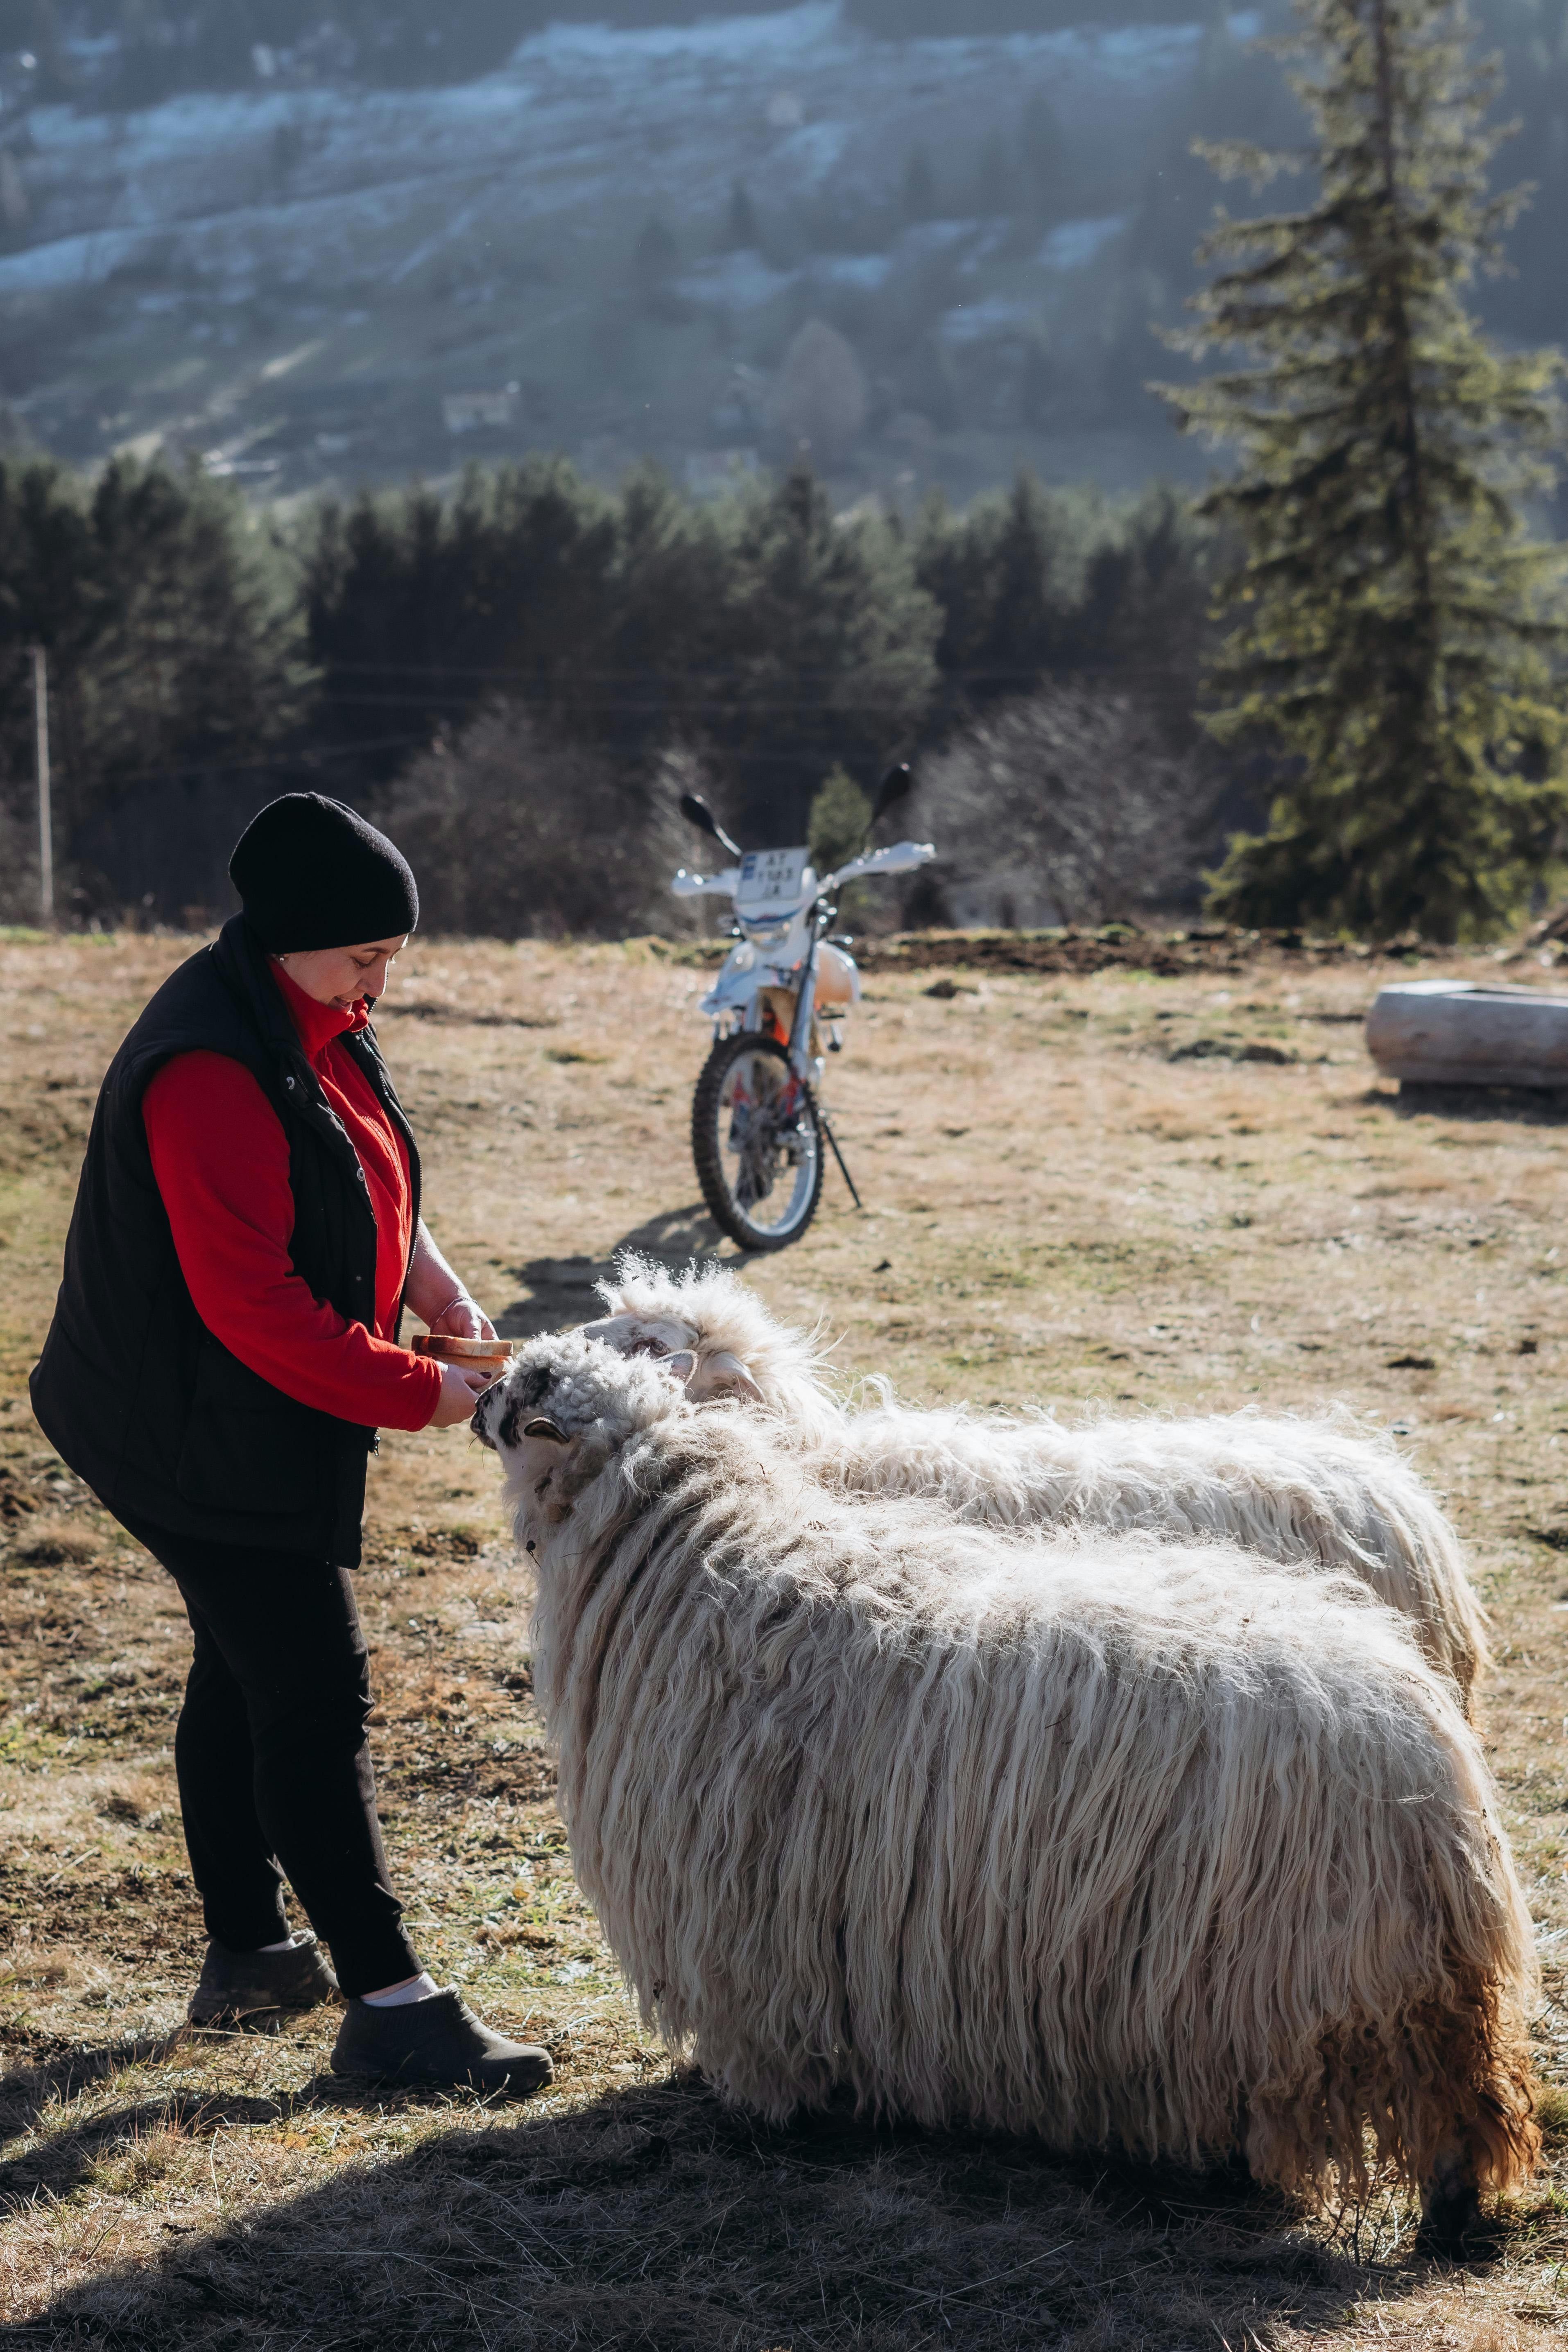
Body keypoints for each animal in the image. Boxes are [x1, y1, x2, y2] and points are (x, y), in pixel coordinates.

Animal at [472, 1333, 1539, 2247]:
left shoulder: (746, 1908)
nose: (476, 1393)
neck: (703, 1542)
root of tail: (1425, 1738)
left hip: (1303, 1968)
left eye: (528, 1388)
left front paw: (774, 2111)